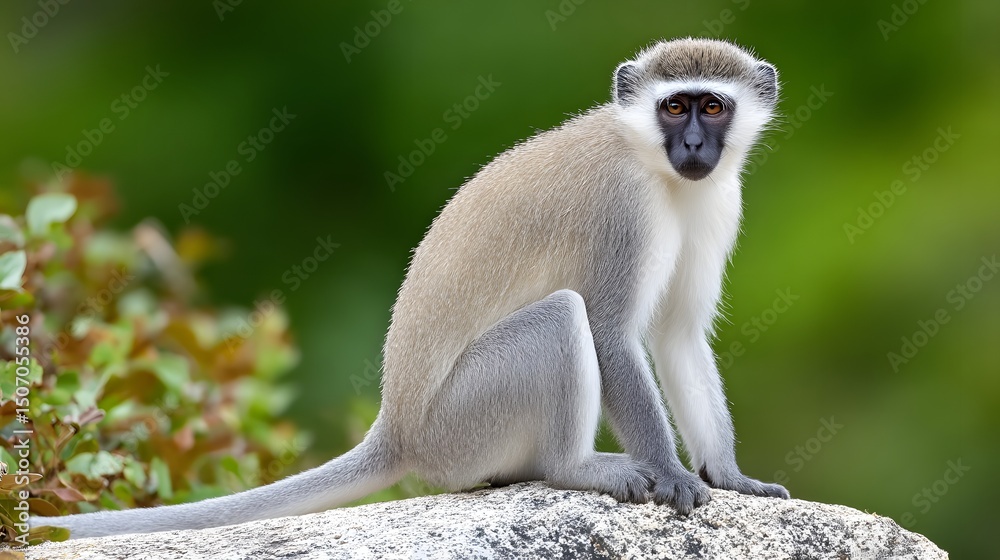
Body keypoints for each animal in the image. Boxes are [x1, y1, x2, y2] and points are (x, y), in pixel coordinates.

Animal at [32, 37, 789, 539]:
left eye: (712, 107)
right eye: (675, 107)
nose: (693, 147)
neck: (659, 172)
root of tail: (399, 429)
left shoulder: (720, 201)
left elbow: (678, 334)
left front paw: (728, 475)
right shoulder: (621, 209)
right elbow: (608, 330)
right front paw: (670, 473)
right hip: (463, 424)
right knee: (562, 318)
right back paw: (575, 467)